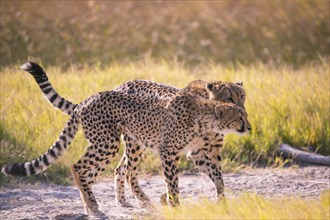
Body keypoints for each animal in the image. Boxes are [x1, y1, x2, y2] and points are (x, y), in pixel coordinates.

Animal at [1, 62, 250, 217]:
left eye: (243, 97)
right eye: (230, 98)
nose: (248, 125)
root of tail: (87, 100)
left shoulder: (199, 153)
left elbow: (217, 176)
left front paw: (222, 203)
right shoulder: (169, 151)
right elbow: (173, 183)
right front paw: (174, 205)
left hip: (118, 143)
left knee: (110, 170)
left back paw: (107, 203)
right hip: (114, 143)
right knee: (92, 168)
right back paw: (101, 205)